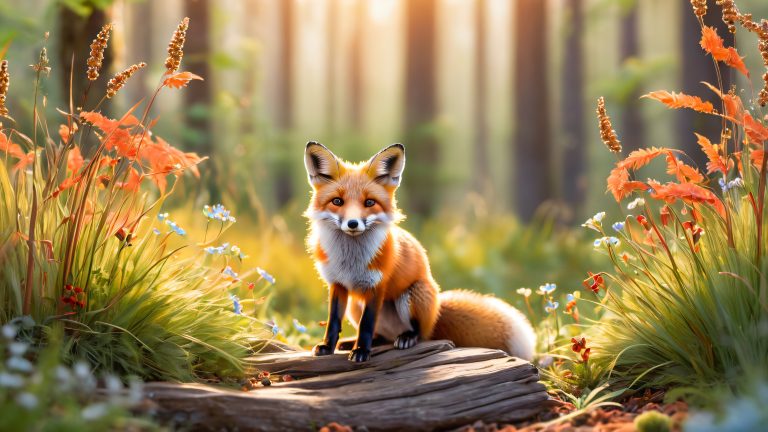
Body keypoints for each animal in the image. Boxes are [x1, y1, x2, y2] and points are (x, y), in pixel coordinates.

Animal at [303, 141, 536, 362]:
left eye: (369, 202)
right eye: (337, 201)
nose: (353, 224)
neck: (350, 261)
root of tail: (436, 311)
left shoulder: (376, 286)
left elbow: (366, 325)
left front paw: (361, 351)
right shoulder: (337, 284)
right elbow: (333, 321)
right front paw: (328, 346)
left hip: (413, 294)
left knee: (420, 334)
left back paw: (407, 337)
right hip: (355, 305)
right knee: (381, 336)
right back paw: (355, 342)